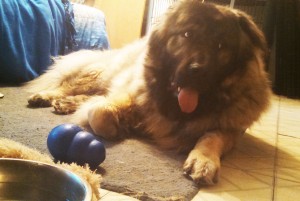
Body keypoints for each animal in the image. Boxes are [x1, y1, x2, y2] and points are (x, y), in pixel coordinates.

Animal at [27, 0, 270, 185]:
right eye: (187, 34)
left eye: (220, 46)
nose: (197, 70)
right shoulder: (132, 97)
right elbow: (99, 113)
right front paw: (117, 127)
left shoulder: (232, 128)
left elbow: (213, 137)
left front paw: (204, 161)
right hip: (98, 75)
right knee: (70, 85)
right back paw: (46, 96)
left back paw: (65, 103)